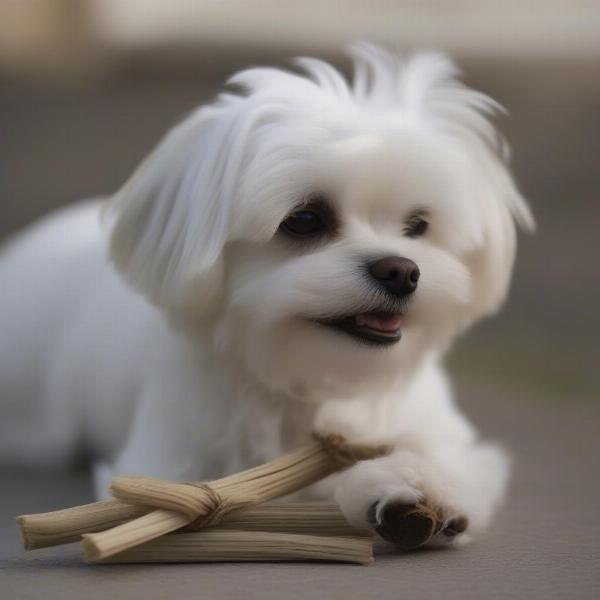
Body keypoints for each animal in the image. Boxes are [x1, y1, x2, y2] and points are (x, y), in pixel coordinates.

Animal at [0, 42, 536, 548]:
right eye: (305, 219)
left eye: (418, 226)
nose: (402, 271)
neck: (310, 378)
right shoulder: (173, 455)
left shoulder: (431, 431)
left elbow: (435, 459)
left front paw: (413, 488)